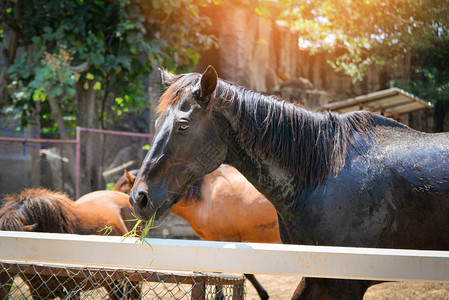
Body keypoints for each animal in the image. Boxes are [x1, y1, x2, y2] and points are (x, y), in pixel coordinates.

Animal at [114, 165, 278, 298]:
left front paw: (263, 294)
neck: (207, 195)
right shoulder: (215, 241)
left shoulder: (229, 240)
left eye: (125, 192)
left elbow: (245, 273)